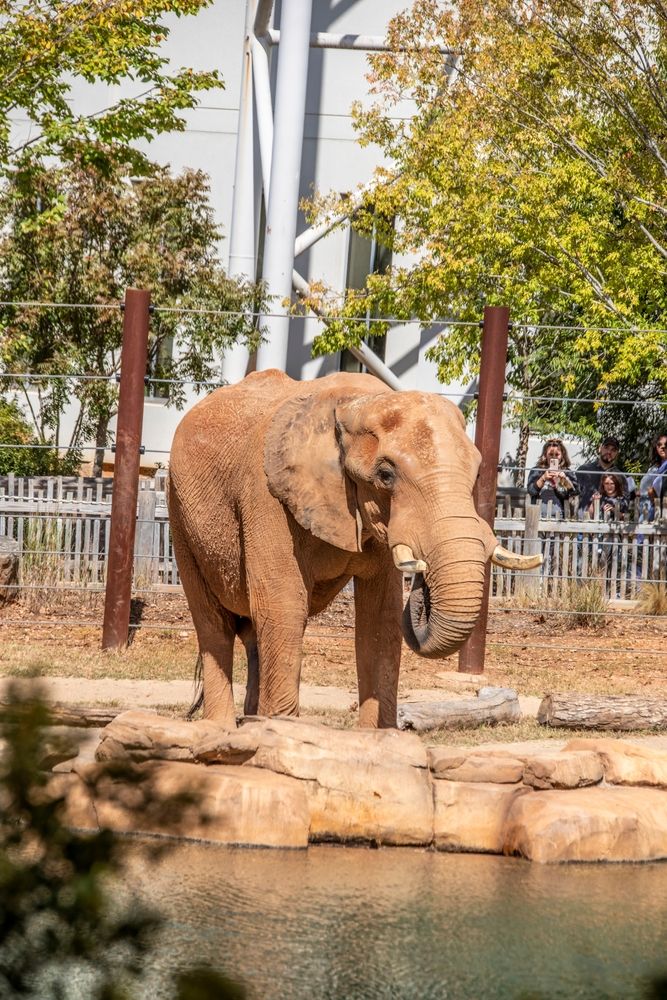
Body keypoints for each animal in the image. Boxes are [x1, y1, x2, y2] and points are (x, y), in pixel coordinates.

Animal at [167, 369, 539, 729]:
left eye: (476, 474)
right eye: (386, 475)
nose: (422, 577)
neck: (358, 402)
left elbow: (381, 617)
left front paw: (376, 736)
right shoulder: (266, 496)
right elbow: (283, 605)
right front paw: (284, 730)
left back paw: (251, 721)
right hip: (181, 513)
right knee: (213, 626)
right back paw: (222, 727)